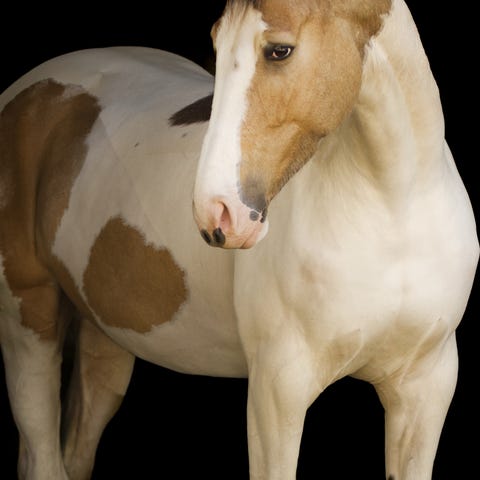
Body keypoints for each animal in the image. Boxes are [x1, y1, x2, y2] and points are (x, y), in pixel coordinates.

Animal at [0, 0, 477, 478]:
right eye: (216, 41)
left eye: (280, 50)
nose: (216, 211)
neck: (395, 209)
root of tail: (26, 93)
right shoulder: (278, 390)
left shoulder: (425, 387)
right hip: (28, 319)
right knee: (43, 455)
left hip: (106, 333)